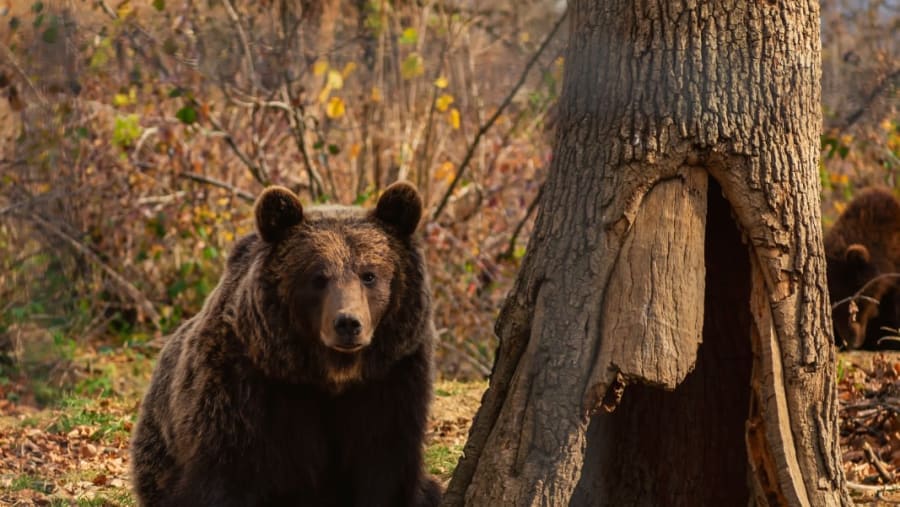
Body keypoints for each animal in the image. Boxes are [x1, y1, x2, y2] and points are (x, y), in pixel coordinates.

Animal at [130, 182, 441, 507]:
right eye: (318, 277)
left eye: (369, 275)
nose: (348, 323)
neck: (329, 375)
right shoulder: (245, 386)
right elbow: (227, 473)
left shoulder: (392, 380)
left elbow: (384, 465)